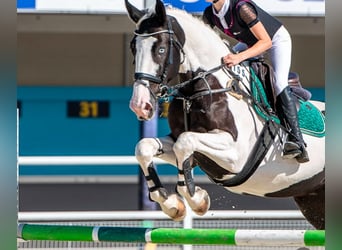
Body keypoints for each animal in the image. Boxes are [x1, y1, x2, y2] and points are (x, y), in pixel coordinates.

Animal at [124, 0, 324, 229]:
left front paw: (196, 199)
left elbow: (184, 142)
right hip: (313, 199)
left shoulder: (235, 154)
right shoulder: (188, 146)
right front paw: (173, 204)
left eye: (161, 49)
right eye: (133, 48)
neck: (205, 88)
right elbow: (145, 147)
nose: (140, 105)